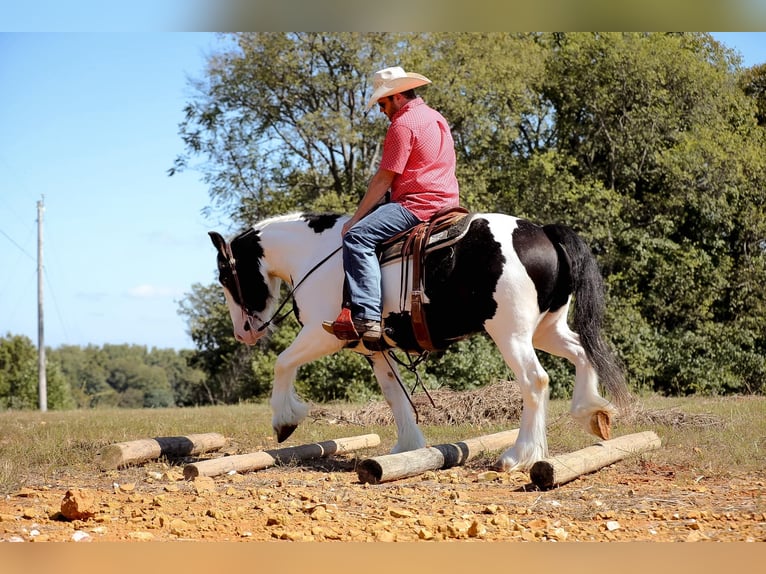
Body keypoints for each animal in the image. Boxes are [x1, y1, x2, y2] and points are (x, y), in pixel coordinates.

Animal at [208, 212, 632, 472]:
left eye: (226, 277)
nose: (244, 332)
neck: (319, 256)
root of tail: (543, 232)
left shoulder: (319, 333)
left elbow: (283, 362)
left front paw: (285, 421)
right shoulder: (374, 348)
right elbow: (395, 396)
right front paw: (408, 447)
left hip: (511, 334)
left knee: (535, 381)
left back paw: (518, 455)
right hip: (546, 329)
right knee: (582, 352)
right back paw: (592, 412)